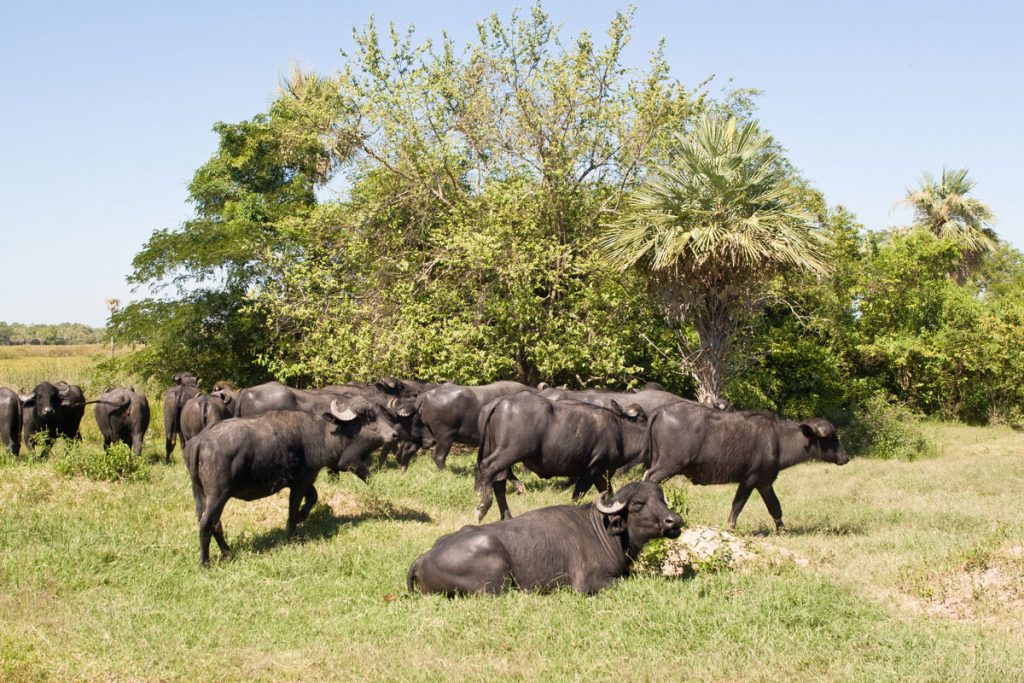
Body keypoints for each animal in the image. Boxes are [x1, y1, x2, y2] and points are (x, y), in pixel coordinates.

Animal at [185, 395, 399, 565]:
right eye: (369, 416)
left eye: (380, 413)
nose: (394, 434)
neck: (321, 433)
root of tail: (200, 441)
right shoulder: (302, 480)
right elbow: (294, 506)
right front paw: (292, 531)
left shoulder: (303, 480)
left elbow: (313, 497)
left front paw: (303, 516)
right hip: (219, 494)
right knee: (206, 523)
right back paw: (205, 561)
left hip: (199, 493)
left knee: (212, 522)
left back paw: (227, 551)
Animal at [405, 481, 679, 598]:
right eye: (638, 504)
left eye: (662, 499)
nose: (674, 521)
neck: (603, 531)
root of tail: (421, 559)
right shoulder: (588, 583)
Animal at [473, 393, 647, 520]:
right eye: (642, 417)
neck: (620, 433)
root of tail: (502, 401)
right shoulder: (593, 470)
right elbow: (577, 497)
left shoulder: (601, 474)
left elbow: (608, 496)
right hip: (508, 453)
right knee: (486, 468)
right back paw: (482, 508)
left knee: (498, 482)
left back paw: (507, 516)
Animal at [643, 403, 851, 532]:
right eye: (831, 438)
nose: (845, 457)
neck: (777, 440)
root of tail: (661, 411)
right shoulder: (750, 479)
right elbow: (737, 505)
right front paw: (730, 527)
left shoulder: (765, 483)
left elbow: (775, 507)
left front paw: (782, 530)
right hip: (668, 465)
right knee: (649, 479)